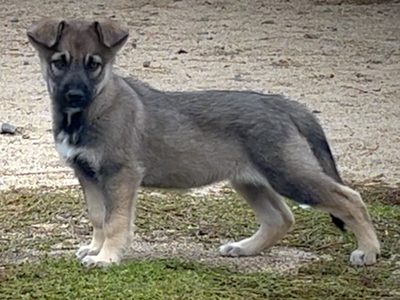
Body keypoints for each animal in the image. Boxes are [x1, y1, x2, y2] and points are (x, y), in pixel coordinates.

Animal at [26, 18, 380, 268]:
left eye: (94, 64)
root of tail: (284, 105)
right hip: (250, 181)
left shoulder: (120, 175)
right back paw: (244, 248)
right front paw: (96, 249)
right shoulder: (87, 175)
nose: (74, 95)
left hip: (289, 174)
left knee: (349, 198)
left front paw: (106, 258)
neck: (92, 110)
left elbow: (115, 221)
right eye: (59, 62)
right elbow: (98, 217)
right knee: (280, 218)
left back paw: (368, 251)